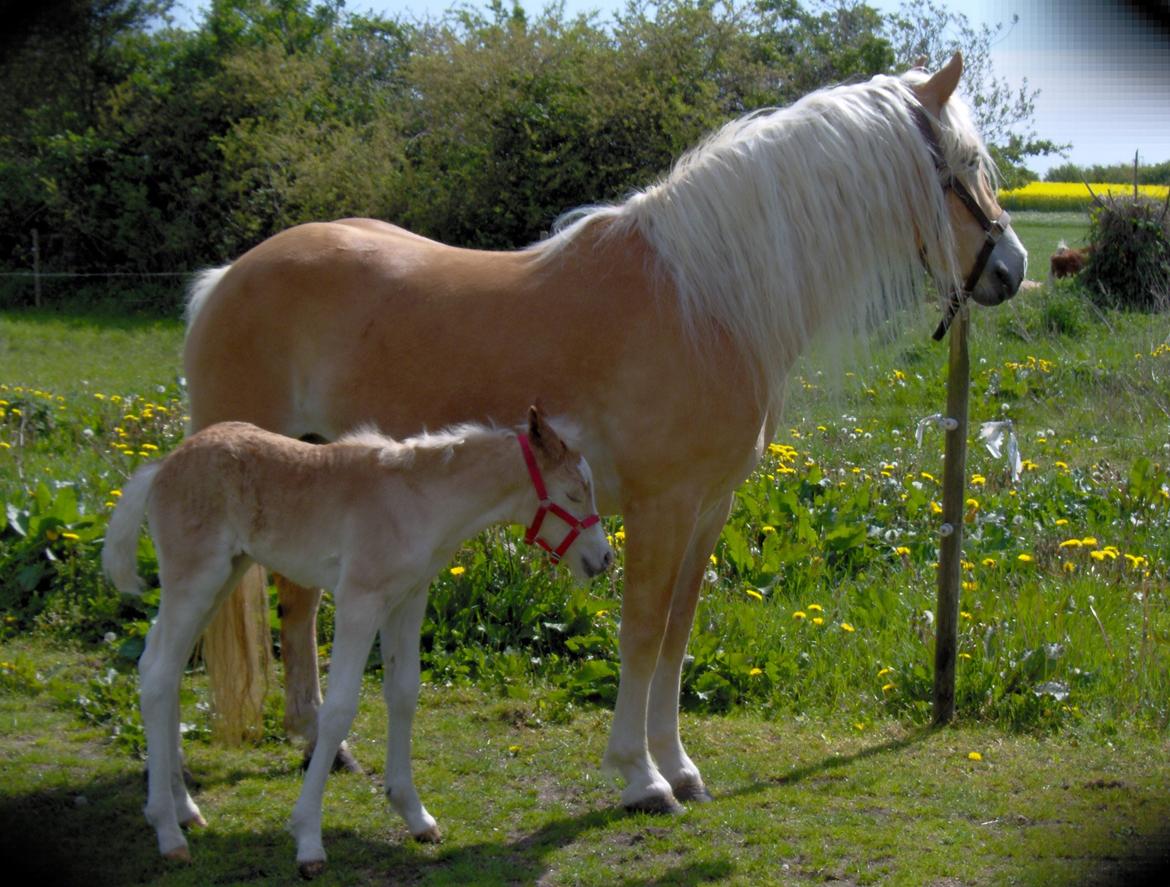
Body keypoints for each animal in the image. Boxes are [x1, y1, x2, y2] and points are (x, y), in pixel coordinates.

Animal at [102, 407, 613, 875]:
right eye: (573, 492)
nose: (605, 558)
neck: (420, 500)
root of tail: (163, 463)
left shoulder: (408, 599)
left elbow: (404, 693)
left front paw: (415, 815)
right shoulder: (359, 601)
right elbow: (339, 709)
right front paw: (308, 839)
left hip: (223, 577)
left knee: (160, 669)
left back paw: (185, 810)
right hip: (195, 579)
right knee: (159, 674)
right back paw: (168, 830)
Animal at [180, 53, 1024, 819]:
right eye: (962, 167)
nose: (1011, 269)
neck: (705, 298)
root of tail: (224, 278)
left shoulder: (708, 507)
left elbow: (677, 636)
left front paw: (679, 766)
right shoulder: (660, 507)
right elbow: (642, 634)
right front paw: (640, 776)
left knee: (295, 600)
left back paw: (320, 743)